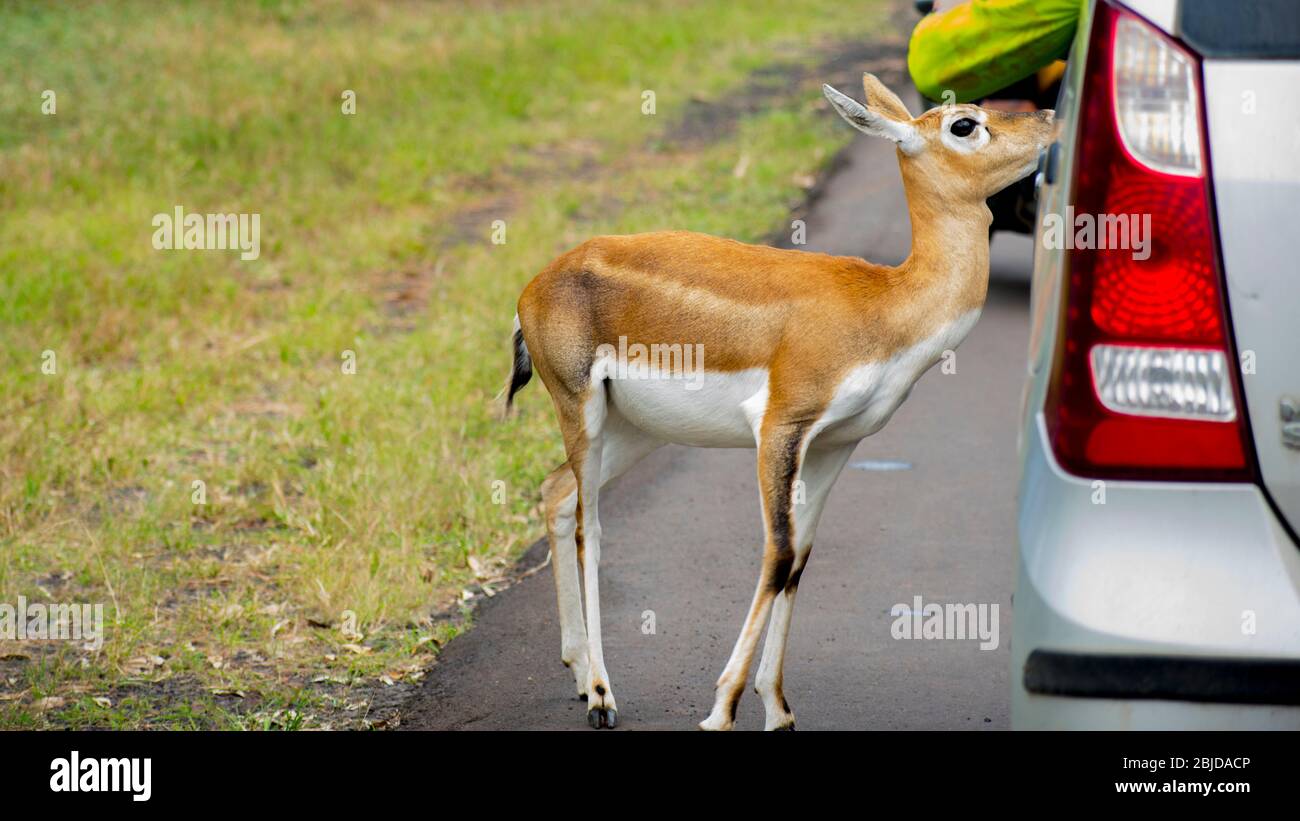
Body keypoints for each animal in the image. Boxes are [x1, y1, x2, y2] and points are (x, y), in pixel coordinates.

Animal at [501, 75, 1050, 732]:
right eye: (964, 124)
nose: (1049, 118)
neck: (884, 306)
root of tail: (534, 286)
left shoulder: (838, 442)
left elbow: (801, 560)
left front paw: (779, 709)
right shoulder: (780, 427)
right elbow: (778, 551)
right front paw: (721, 710)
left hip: (636, 431)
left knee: (556, 493)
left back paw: (583, 676)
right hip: (579, 405)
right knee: (592, 524)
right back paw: (604, 698)